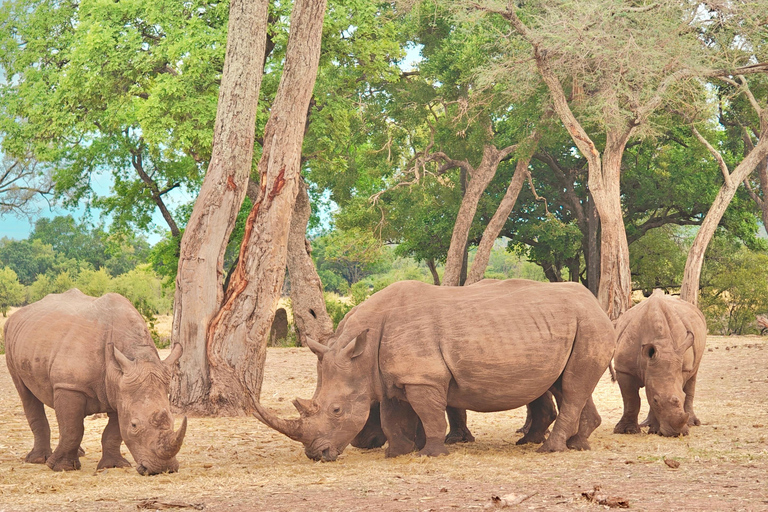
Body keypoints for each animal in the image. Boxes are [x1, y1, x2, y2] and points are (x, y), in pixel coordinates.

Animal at [4, 289, 187, 474]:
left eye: (173, 421)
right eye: (134, 425)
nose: (163, 469)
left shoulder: (120, 390)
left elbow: (113, 432)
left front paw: (113, 465)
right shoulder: (72, 386)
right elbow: (73, 429)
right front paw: (61, 467)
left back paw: (77, 453)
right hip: (10, 338)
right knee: (26, 394)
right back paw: (39, 460)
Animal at [254, 279, 615, 461]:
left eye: (337, 410)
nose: (316, 455)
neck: (362, 354)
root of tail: (598, 303)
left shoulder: (422, 378)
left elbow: (427, 415)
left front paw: (431, 454)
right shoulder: (392, 379)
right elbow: (394, 416)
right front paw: (396, 454)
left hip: (590, 324)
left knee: (573, 386)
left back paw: (549, 449)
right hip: (577, 326)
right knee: (569, 384)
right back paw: (578, 445)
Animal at [613, 290, 706, 437]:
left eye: (682, 397)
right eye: (656, 400)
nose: (676, 433)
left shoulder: (682, 367)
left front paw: (656, 430)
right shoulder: (624, 369)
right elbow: (631, 399)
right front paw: (626, 431)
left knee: (693, 374)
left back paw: (691, 423)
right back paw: (646, 424)